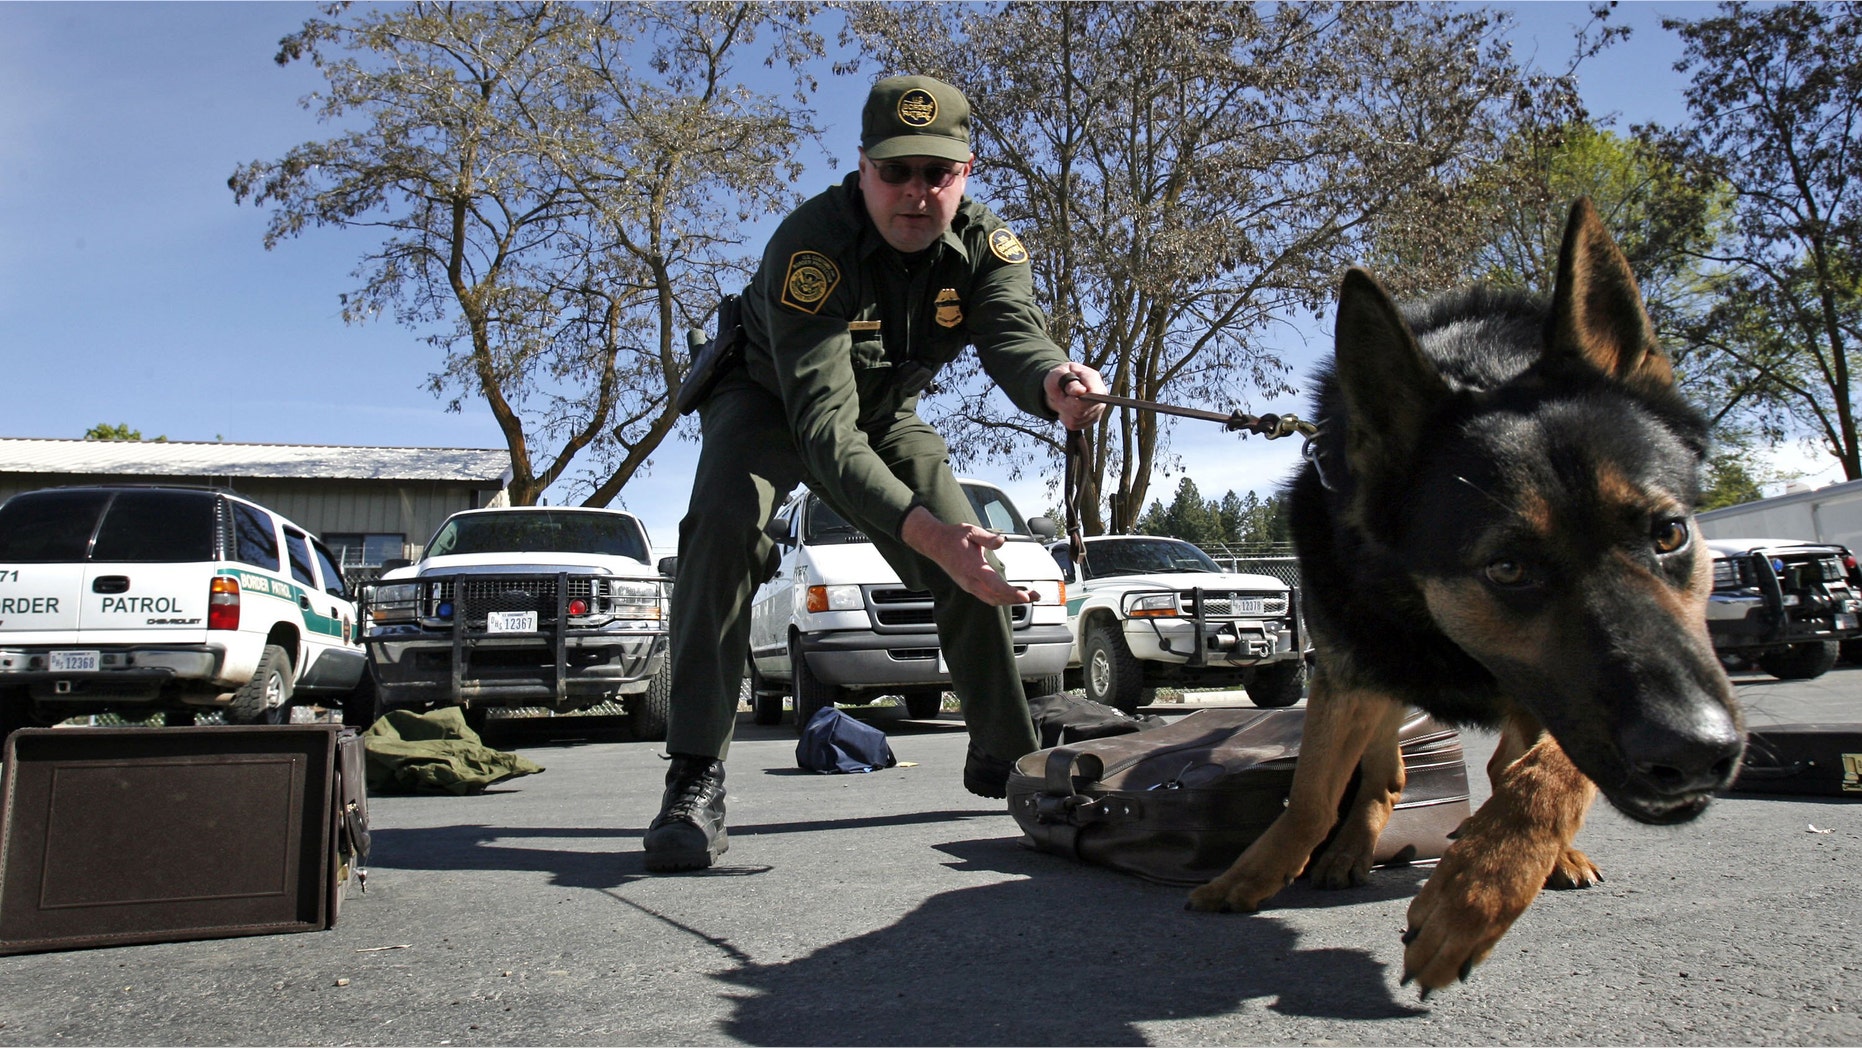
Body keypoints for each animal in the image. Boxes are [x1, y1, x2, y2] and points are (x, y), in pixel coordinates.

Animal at [1191, 201, 1742, 997]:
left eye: (1669, 533)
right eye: (1507, 568)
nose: (1696, 751)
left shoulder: (1559, 701)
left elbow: (1543, 779)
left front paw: (1474, 892)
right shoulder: (1352, 671)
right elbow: (1313, 793)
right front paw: (1254, 874)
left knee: (1498, 768)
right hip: (1380, 680)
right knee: (1386, 775)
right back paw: (1349, 850)